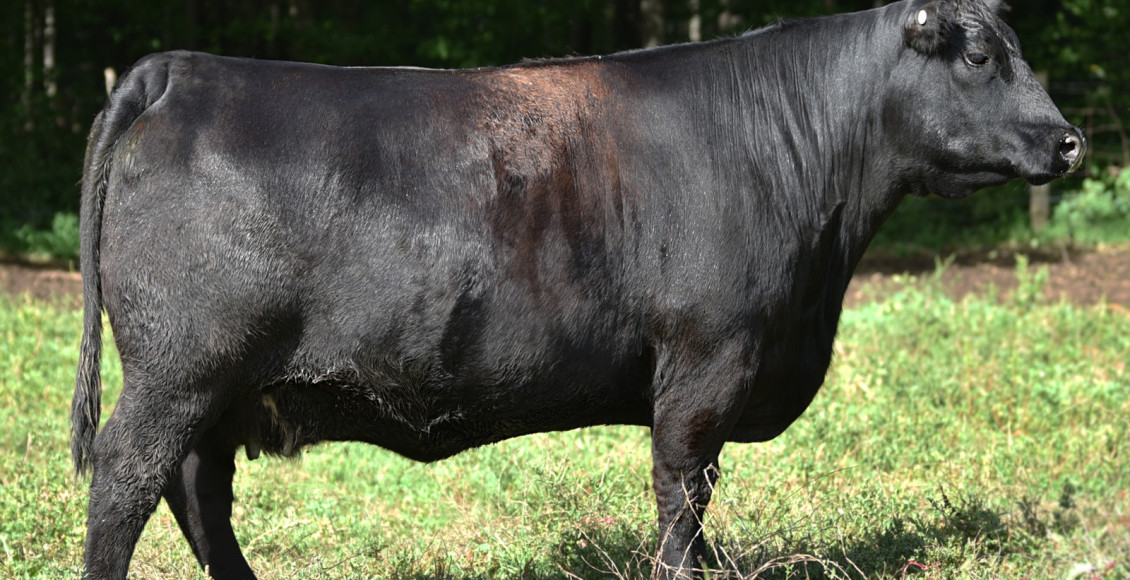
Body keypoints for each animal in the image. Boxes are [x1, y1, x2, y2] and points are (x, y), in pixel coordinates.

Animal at [72, 0, 1084, 576]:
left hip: (217, 387)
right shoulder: (706, 359)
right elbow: (682, 492)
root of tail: (180, 69)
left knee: (198, 493)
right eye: (979, 57)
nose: (1071, 140)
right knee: (127, 479)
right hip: (180, 369)